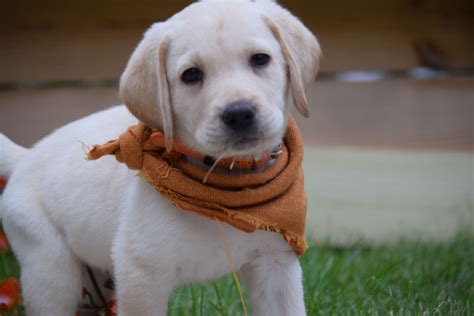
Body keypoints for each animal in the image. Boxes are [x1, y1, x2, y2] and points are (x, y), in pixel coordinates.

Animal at [0, 1, 320, 314]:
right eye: (191, 74)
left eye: (260, 59)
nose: (239, 113)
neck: (223, 184)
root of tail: (27, 156)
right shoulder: (140, 274)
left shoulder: (276, 263)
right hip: (51, 269)